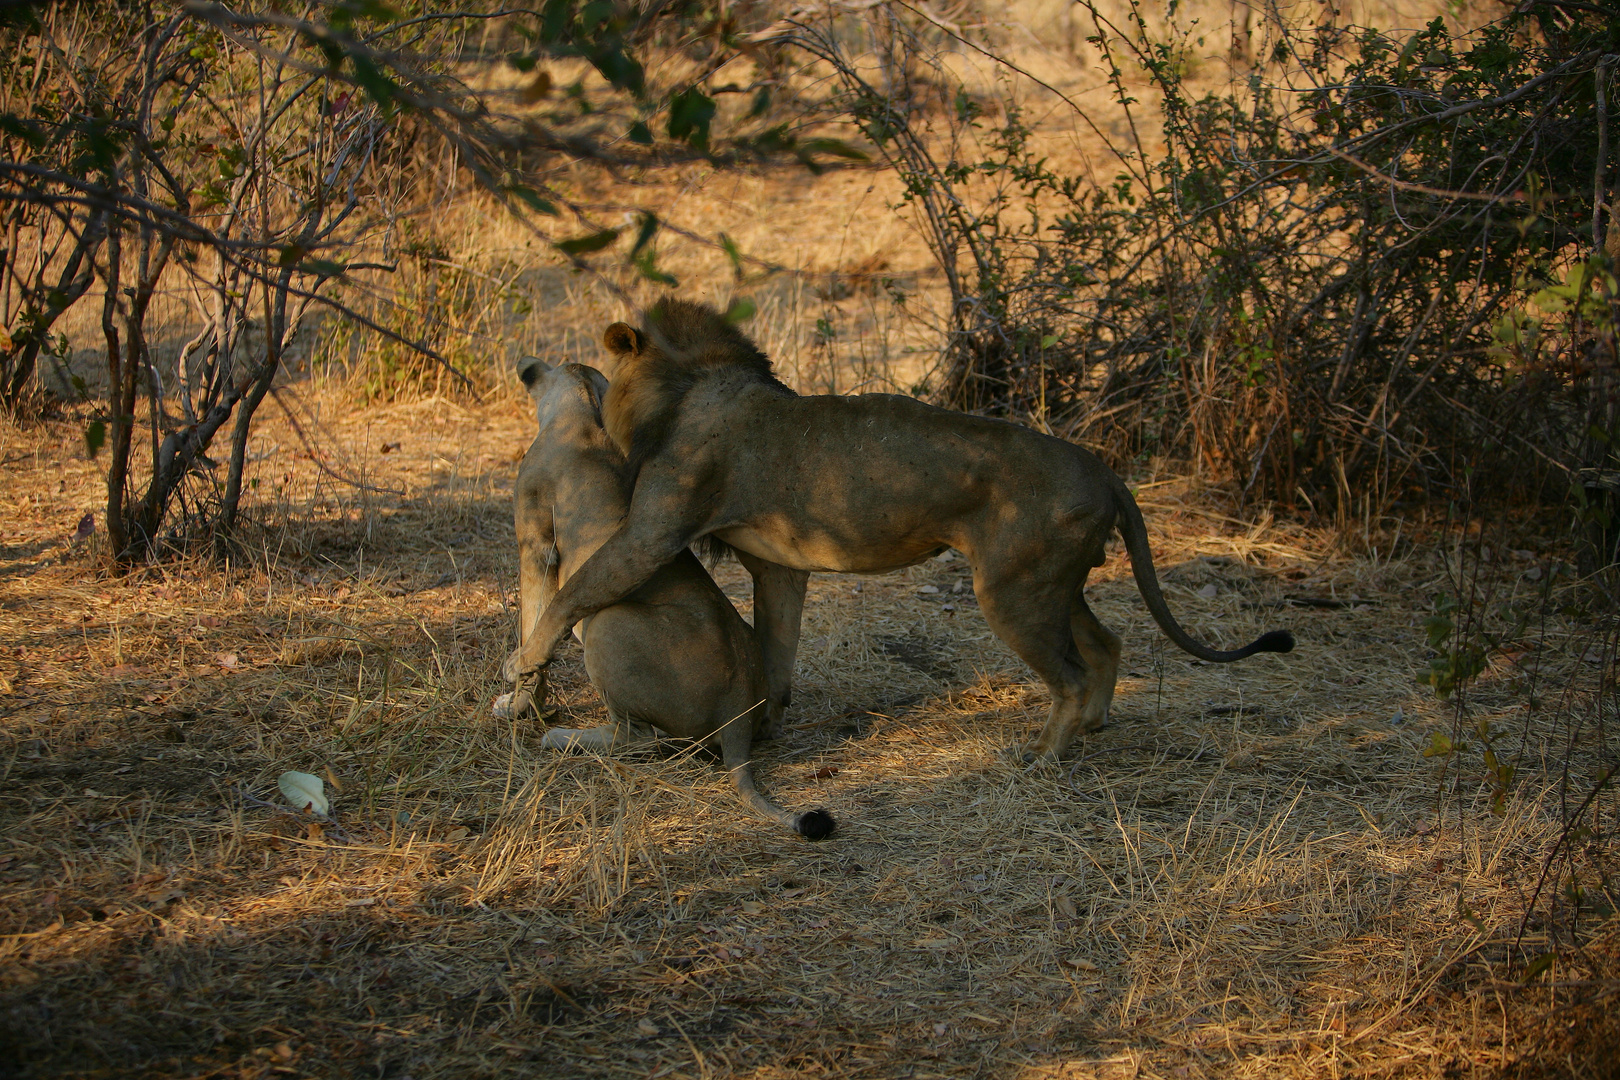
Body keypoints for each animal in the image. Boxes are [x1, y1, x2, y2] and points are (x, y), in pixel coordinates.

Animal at [502, 299, 1289, 764]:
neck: (696, 382)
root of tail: (1105, 472)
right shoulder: (779, 566)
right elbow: (776, 649)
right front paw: (767, 722)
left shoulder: (651, 535)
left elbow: (572, 594)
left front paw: (518, 672)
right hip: (1053, 584)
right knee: (1107, 645)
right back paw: (1092, 729)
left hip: (1012, 590)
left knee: (1068, 672)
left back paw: (1041, 755)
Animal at [502, 359, 835, 841]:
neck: (582, 411)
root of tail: (738, 711)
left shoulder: (535, 545)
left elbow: (534, 626)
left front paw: (519, 704)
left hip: (608, 623)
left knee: (643, 739)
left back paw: (562, 739)